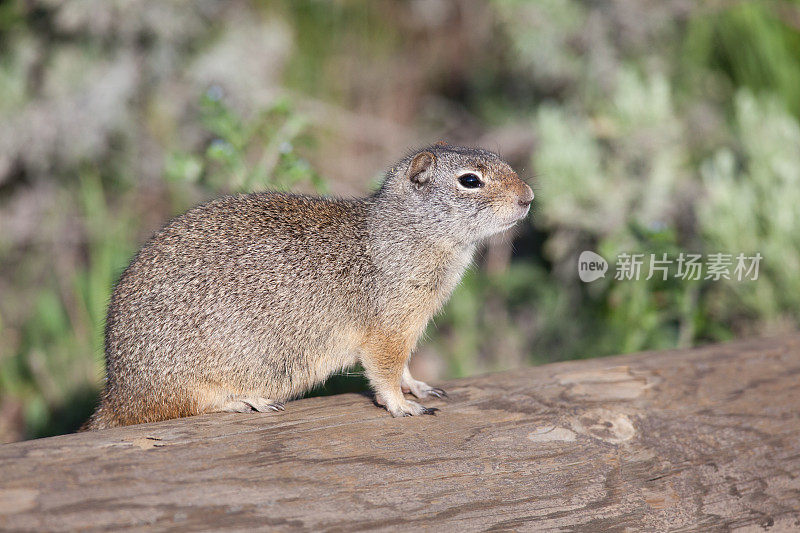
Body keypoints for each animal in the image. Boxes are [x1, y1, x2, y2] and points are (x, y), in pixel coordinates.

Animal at [83, 144, 532, 428]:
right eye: (470, 181)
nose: (528, 196)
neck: (400, 234)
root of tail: (118, 393)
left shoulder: (406, 329)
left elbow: (404, 367)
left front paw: (420, 387)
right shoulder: (387, 330)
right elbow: (385, 373)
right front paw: (402, 407)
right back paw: (246, 400)